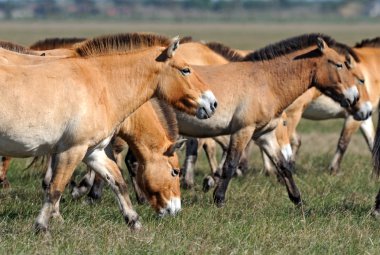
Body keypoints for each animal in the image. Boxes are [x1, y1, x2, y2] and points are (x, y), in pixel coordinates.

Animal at [0, 32, 217, 232]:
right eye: (186, 70)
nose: (213, 103)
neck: (101, 85)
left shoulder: (92, 151)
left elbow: (117, 181)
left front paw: (134, 221)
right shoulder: (71, 150)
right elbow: (55, 188)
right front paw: (42, 226)